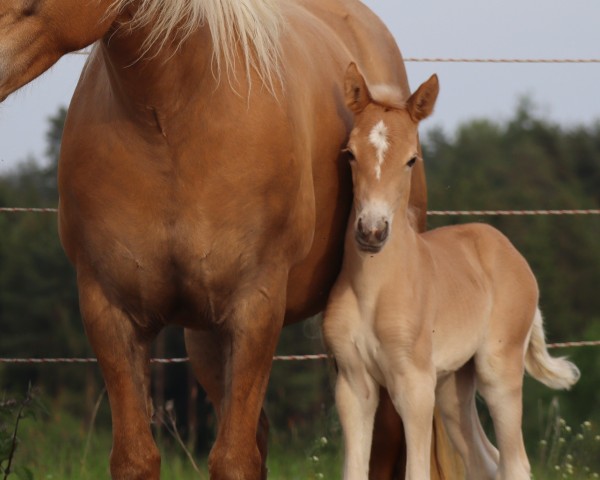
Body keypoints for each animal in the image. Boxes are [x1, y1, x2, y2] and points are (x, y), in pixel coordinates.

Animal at [0, 1, 458, 478]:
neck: (172, 117)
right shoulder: (108, 309)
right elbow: (137, 458)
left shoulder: (256, 307)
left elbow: (234, 459)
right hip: (206, 337)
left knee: (385, 436)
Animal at [324, 62, 580, 480]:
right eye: (349, 154)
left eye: (412, 159)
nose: (372, 232)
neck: (374, 289)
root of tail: (510, 252)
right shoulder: (353, 385)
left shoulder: (414, 385)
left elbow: (416, 472)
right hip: (453, 386)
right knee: (486, 461)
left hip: (497, 370)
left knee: (515, 462)